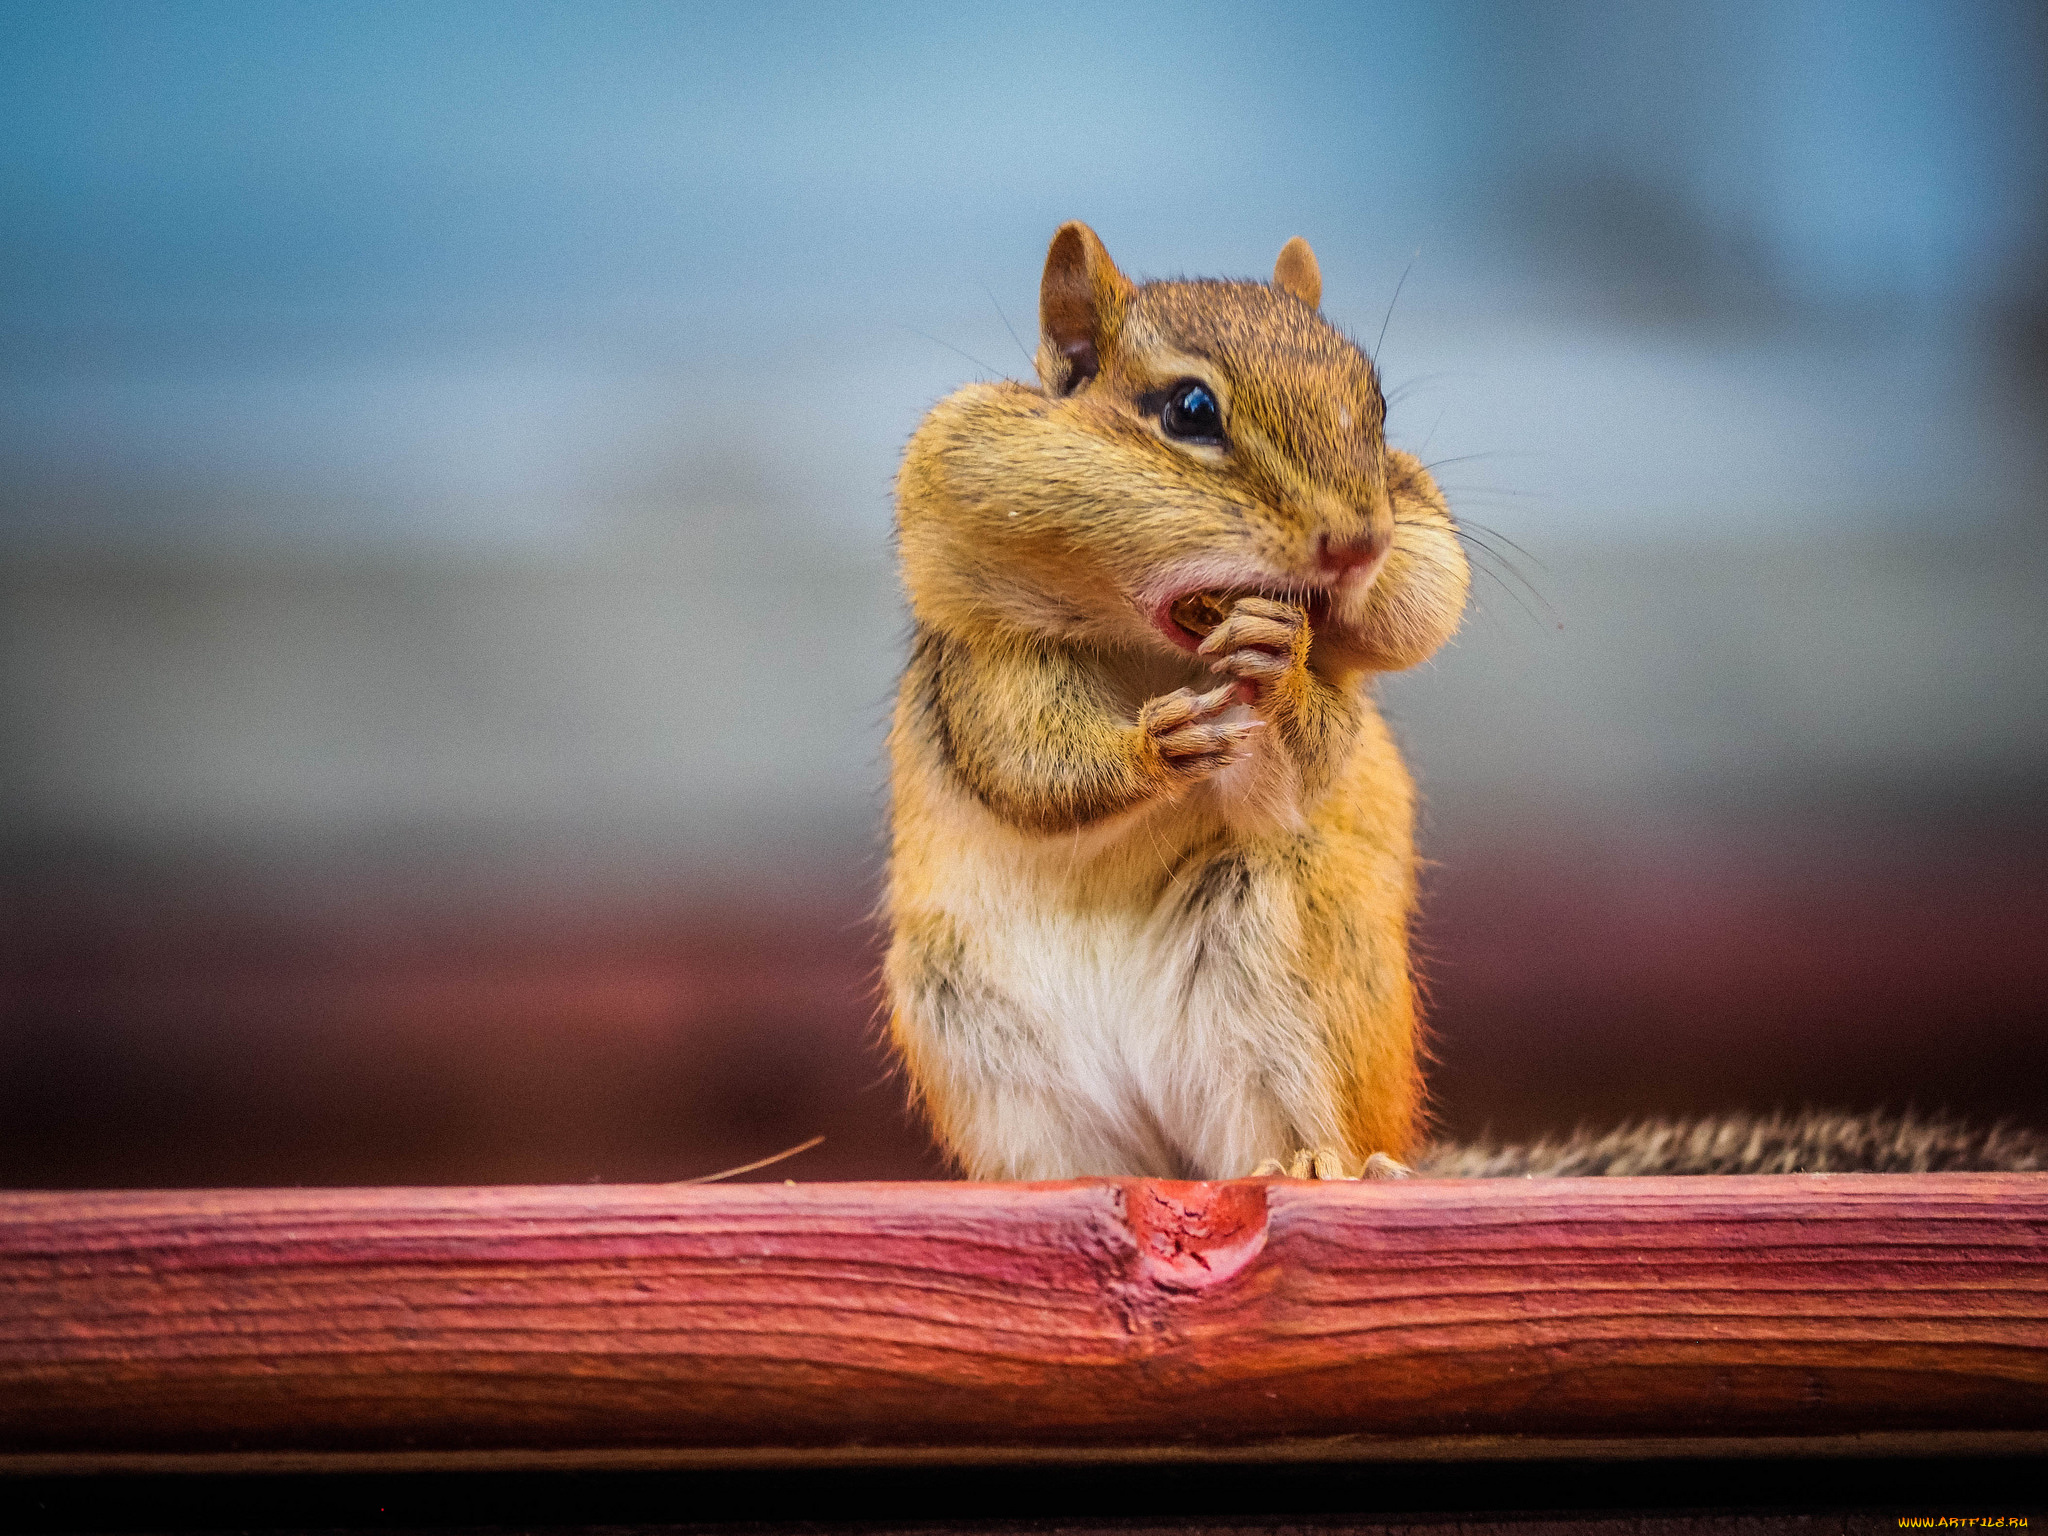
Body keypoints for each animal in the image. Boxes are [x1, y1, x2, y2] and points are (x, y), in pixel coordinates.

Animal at [883, 222, 1469, 1182]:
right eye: (1190, 410)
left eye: (1378, 411)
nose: (1361, 543)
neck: (1153, 655)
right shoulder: (988, 669)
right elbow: (1028, 767)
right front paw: (1156, 749)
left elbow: (1308, 758)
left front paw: (1279, 666)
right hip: (977, 1038)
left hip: (1280, 966)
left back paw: (1321, 1165)